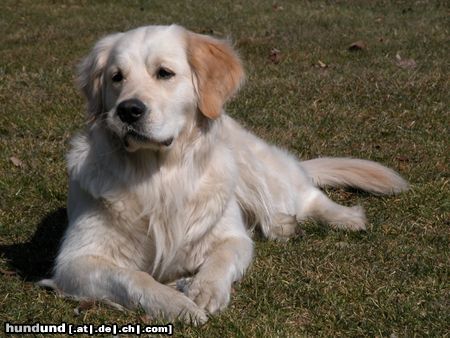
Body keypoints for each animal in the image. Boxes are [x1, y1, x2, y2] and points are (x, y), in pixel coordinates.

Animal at [39, 25, 408, 324]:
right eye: (116, 77)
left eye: (164, 73)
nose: (128, 110)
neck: (160, 174)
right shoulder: (76, 261)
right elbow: (135, 278)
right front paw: (175, 303)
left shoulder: (231, 236)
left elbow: (221, 258)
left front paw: (203, 290)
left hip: (256, 164)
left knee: (305, 194)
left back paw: (342, 218)